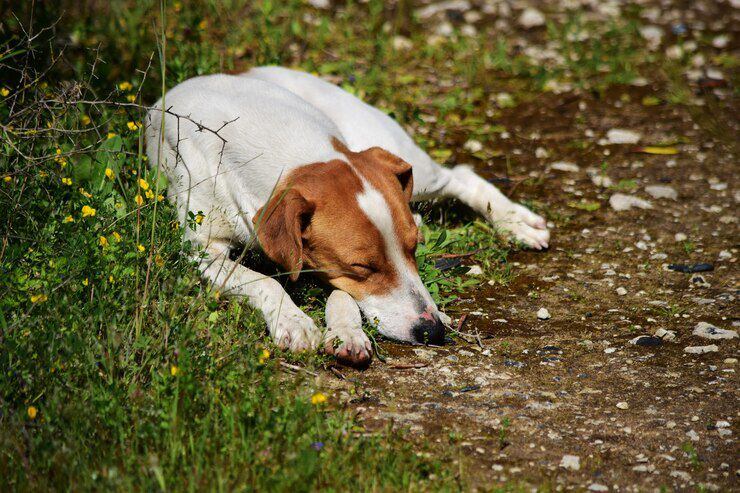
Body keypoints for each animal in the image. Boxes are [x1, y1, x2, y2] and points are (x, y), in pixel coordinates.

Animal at [145, 67, 548, 364]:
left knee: (461, 175)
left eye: (414, 249)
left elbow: (343, 296)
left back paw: (516, 222)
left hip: (410, 166)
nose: (432, 331)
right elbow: (264, 282)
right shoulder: (201, 250)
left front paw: (346, 331)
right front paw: (294, 321)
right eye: (363, 267)